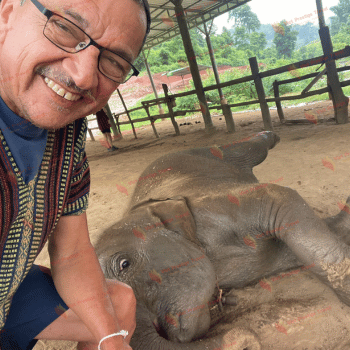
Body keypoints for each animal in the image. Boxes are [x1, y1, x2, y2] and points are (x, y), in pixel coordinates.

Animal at [95, 132, 350, 350]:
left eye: (124, 264)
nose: (248, 338)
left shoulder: (216, 206)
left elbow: (281, 197)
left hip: (200, 155)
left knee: (245, 150)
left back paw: (269, 136)